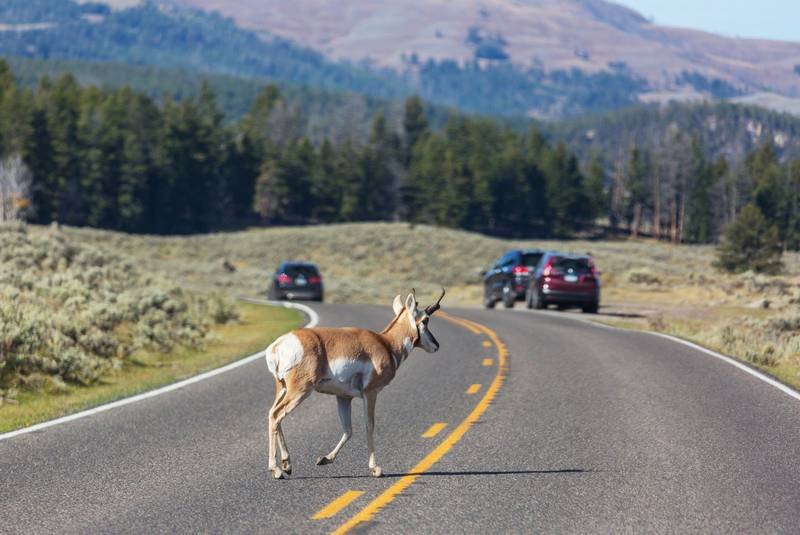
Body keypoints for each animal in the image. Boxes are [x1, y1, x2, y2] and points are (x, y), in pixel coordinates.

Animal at [264, 288, 445, 479]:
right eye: (425, 320)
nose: (436, 345)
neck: (386, 343)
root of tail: (279, 344)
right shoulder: (371, 393)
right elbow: (369, 425)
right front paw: (375, 468)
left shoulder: (343, 397)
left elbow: (348, 430)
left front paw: (325, 459)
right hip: (300, 391)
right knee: (277, 415)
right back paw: (276, 469)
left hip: (283, 389)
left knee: (273, 414)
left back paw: (287, 464)